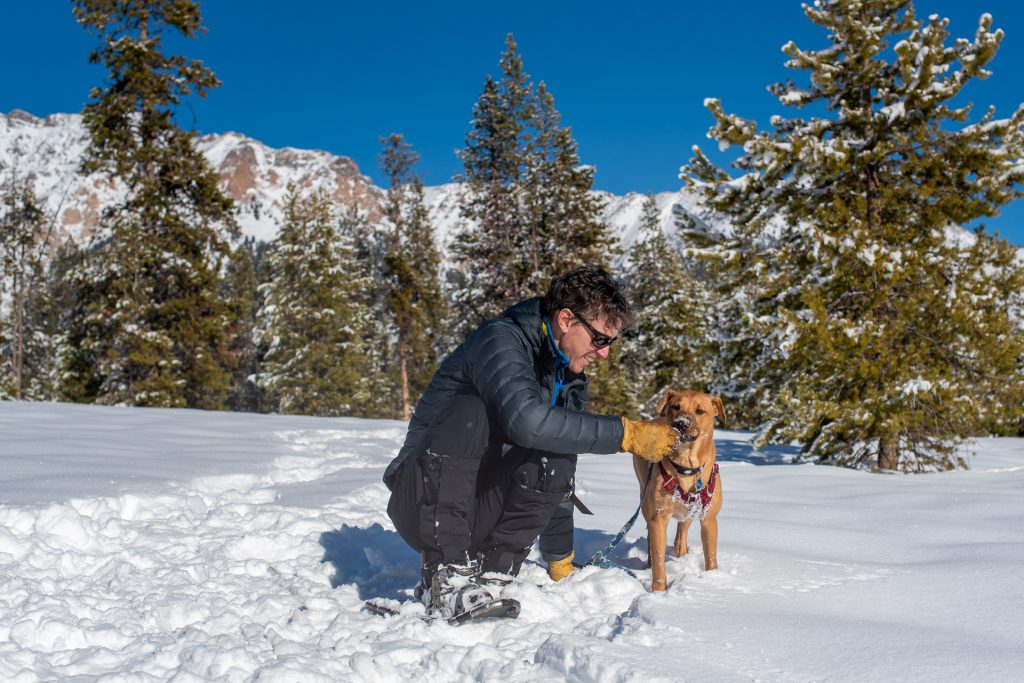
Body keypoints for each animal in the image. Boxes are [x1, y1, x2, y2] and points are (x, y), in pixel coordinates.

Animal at [626, 389, 724, 593]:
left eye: (700, 411)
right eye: (675, 406)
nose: (681, 423)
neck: (687, 466)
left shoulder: (709, 518)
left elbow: (710, 556)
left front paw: (713, 579)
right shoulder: (659, 517)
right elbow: (659, 561)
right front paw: (658, 591)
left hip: (689, 511)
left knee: (681, 532)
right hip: (645, 501)